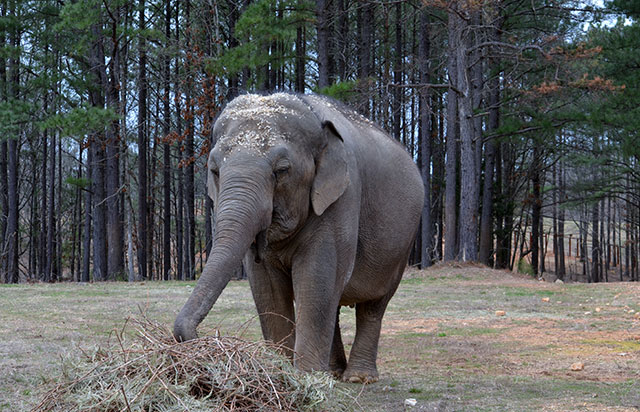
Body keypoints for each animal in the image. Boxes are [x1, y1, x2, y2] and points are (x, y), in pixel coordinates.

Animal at [174, 92, 424, 384]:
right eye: (214, 170)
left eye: (282, 170)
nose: (199, 338)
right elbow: (266, 284)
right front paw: (280, 371)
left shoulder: (342, 197)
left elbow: (316, 276)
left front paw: (305, 377)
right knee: (334, 304)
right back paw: (334, 372)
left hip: (402, 245)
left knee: (373, 305)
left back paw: (358, 377)